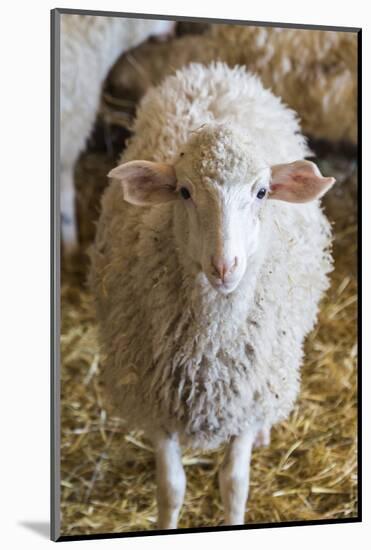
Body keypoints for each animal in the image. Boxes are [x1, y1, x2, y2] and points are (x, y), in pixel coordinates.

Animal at [90, 61, 338, 532]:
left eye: (262, 192)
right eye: (184, 192)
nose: (225, 266)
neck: (211, 352)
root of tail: (215, 71)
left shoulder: (246, 401)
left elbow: (234, 484)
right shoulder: (157, 405)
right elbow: (171, 489)